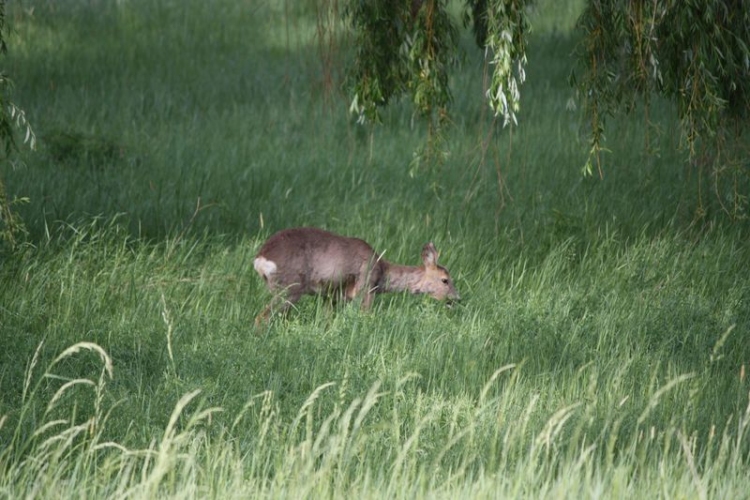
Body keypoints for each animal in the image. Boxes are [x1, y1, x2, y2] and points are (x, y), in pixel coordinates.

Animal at [256, 227, 462, 324]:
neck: (382, 272)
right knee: (262, 317)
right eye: (445, 280)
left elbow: (326, 321)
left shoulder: (332, 296)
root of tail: (261, 259)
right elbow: (366, 317)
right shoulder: (366, 287)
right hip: (290, 287)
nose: (458, 298)